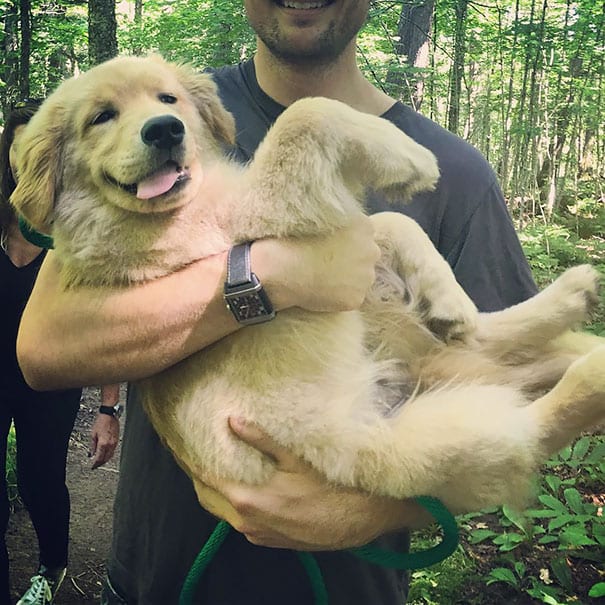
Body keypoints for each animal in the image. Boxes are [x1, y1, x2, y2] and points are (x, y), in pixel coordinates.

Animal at [10, 54, 604, 512]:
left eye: (168, 99)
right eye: (101, 117)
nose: (164, 129)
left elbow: (392, 222)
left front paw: (448, 294)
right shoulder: (262, 215)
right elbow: (307, 112)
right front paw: (408, 155)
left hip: (407, 339)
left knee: (491, 341)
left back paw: (560, 302)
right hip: (385, 441)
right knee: (525, 432)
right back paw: (589, 371)